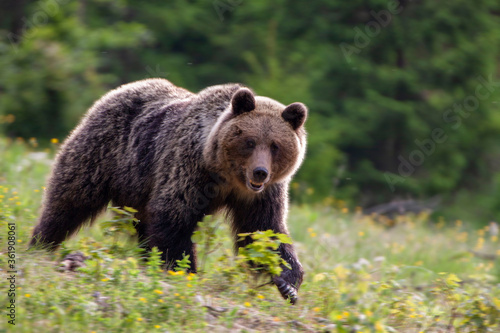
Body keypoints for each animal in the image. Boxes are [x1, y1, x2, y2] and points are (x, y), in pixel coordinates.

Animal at [31, 79, 306, 302]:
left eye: (275, 145)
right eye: (249, 141)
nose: (260, 172)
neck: (227, 176)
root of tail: (120, 89)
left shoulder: (260, 195)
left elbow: (265, 231)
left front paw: (288, 283)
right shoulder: (189, 168)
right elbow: (174, 217)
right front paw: (185, 270)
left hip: (136, 187)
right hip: (106, 152)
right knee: (70, 199)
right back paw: (41, 243)